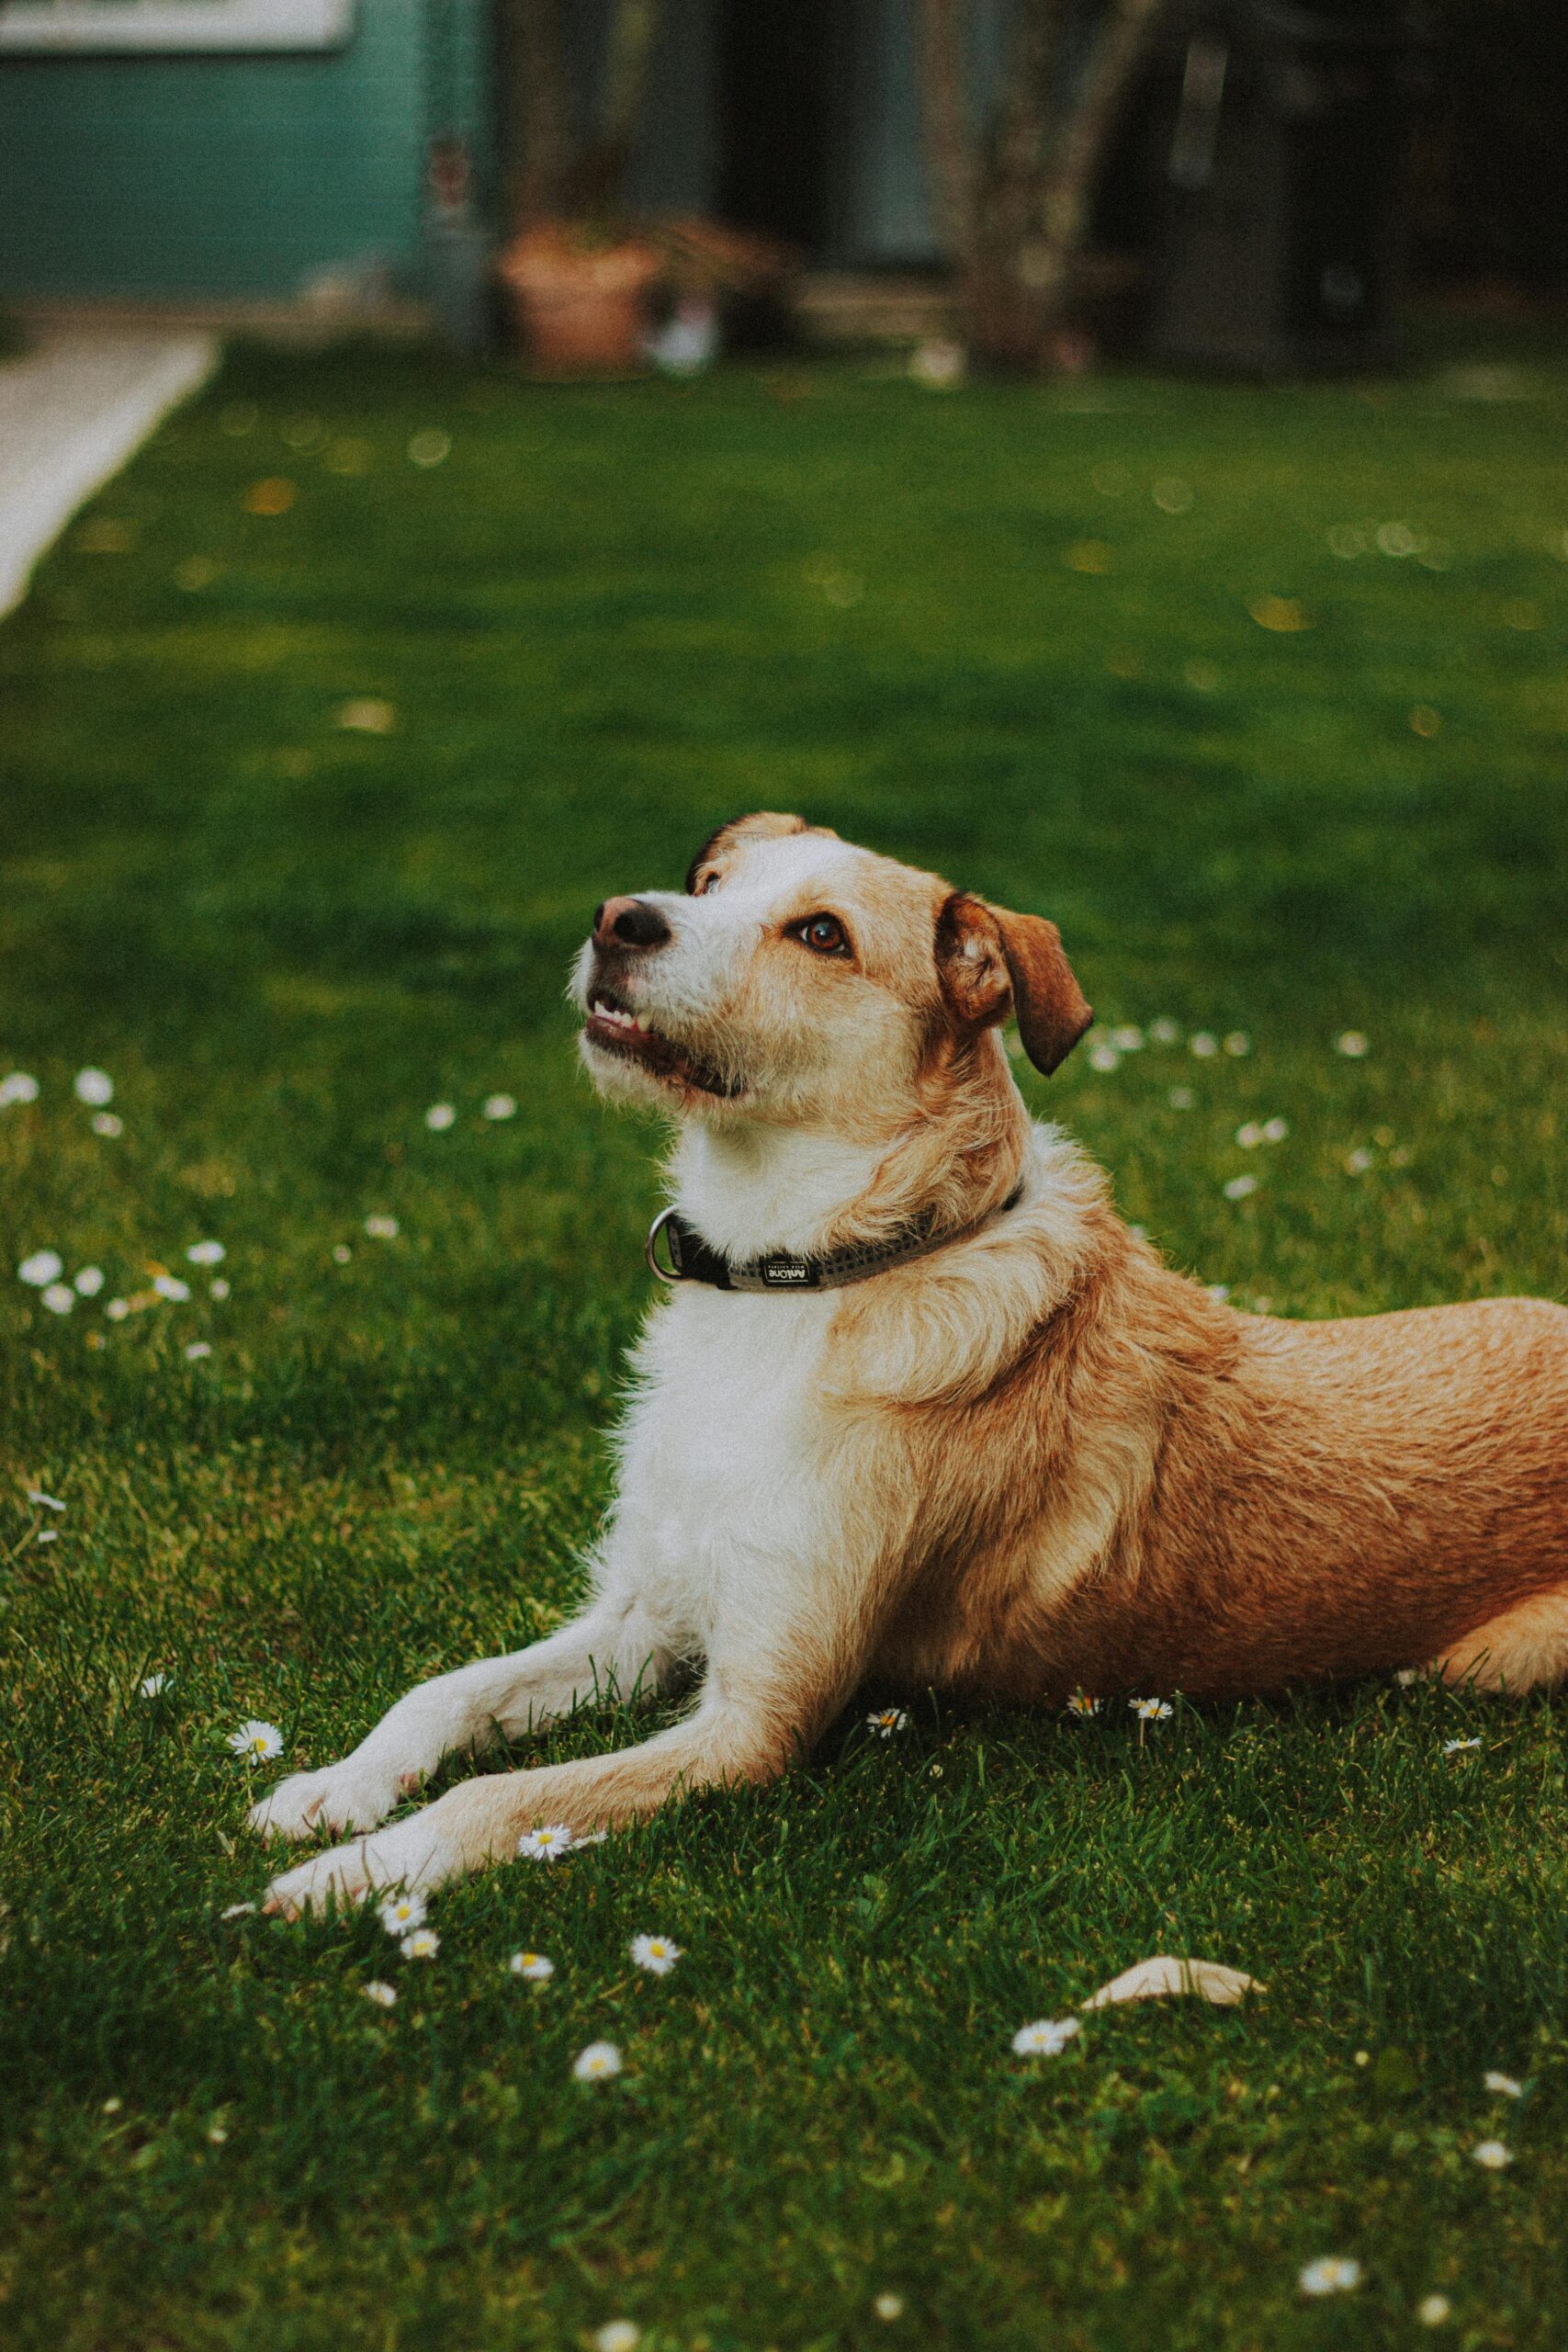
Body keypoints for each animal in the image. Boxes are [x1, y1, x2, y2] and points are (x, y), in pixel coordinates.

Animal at [257, 808, 1568, 1909]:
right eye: (711, 884)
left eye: (821, 934)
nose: (619, 918)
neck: (808, 1273)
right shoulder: (651, 1614)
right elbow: (450, 1688)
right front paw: (336, 1790)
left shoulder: (753, 1727)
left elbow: (503, 1796)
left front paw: (356, 1876)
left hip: (1490, 1666)